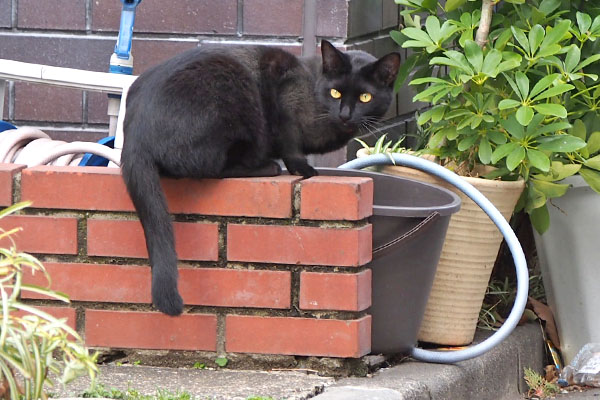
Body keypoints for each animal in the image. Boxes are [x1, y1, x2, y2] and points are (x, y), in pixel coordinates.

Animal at [119, 40, 400, 316]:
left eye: (365, 97)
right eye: (335, 93)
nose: (345, 115)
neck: (314, 88)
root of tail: (134, 133)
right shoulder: (285, 97)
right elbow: (290, 140)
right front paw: (302, 168)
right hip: (236, 96)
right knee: (208, 167)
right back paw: (267, 167)